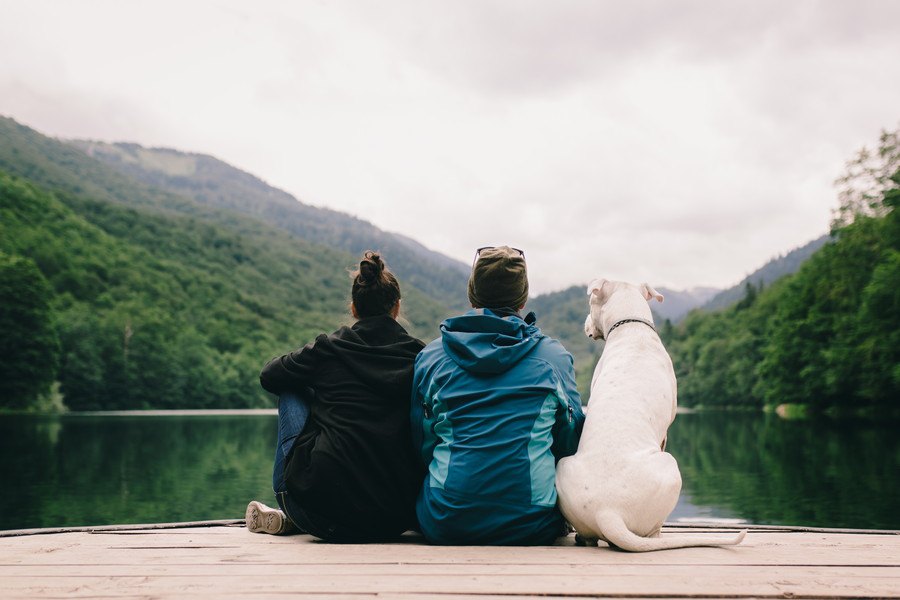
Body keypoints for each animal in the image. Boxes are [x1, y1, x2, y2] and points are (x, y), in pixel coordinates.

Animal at [556, 278, 744, 552]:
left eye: (590, 303)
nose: (585, 324)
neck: (631, 328)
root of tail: (608, 512)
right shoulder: (666, 433)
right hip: (672, 468)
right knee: (651, 530)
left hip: (563, 465)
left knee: (589, 535)